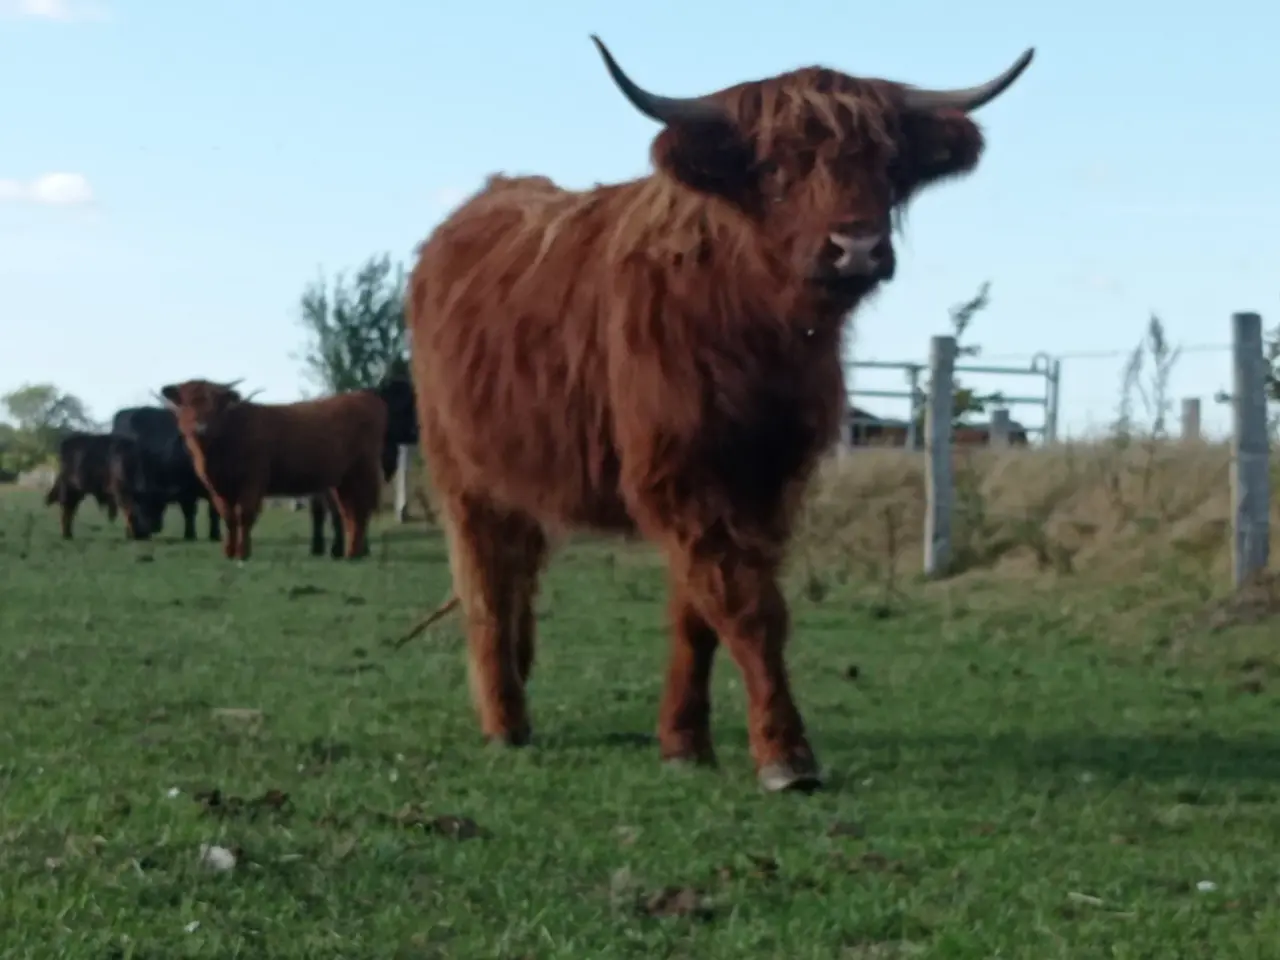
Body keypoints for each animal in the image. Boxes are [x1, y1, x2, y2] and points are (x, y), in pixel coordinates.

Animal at [159, 379, 388, 561]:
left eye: (215, 406)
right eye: (186, 404)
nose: (201, 429)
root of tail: (360, 396)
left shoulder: (253, 480)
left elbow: (244, 515)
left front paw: (243, 553)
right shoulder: (218, 488)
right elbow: (228, 517)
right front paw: (229, 552)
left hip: (363, 471)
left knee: (361, 511)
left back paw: (355, 553)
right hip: (342, 480)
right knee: (349, 512)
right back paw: (352, 552)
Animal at [308, 375, 420, 558]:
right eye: (406, 404)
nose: (418, 429)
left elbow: (363, 510)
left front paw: (362, 549)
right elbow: (340, 514)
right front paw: (338, 549)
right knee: (318, 514)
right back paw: (317, 548)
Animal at [404, 36, 1034, 792]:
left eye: (885, 163)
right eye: (775, 166)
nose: (855, 248)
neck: (755, 324)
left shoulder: (766, 479)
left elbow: (697, 611)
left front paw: (683, 741)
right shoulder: (681, 474)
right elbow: (749, 606)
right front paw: (786, 755)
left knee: (518, 573)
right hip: (461, 472)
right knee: (486, 584)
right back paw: (504, 720)